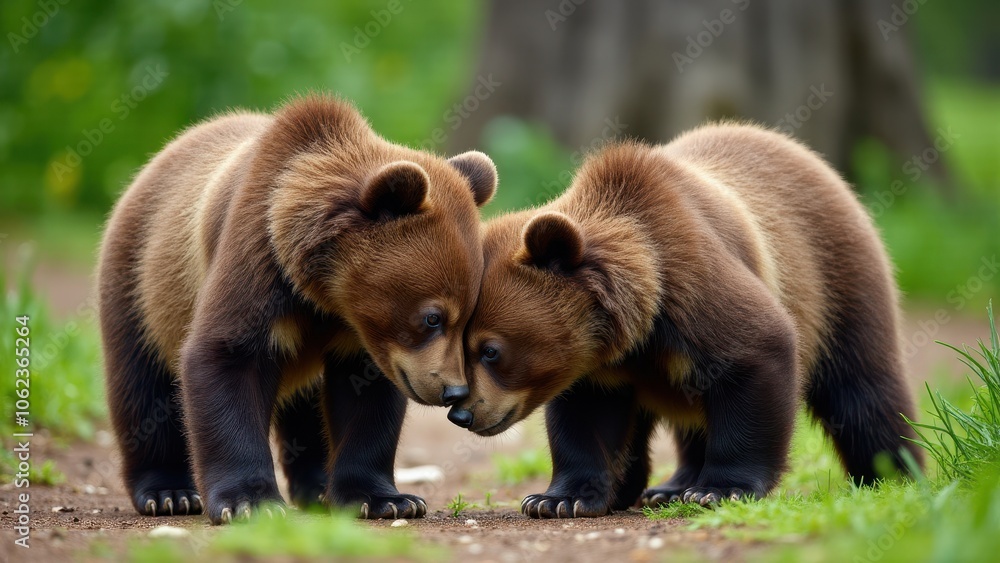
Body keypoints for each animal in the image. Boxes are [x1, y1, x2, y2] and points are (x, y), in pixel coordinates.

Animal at [98, 95, 497, 524]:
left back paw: (318, 487)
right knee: (143, 388)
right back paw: (168, 492)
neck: (323, 294)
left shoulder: (363, 341)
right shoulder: (256, 261)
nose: (453, 389)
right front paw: (249, 501)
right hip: (143, 286)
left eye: (468, 317)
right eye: (432, 317)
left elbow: (367, 402)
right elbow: (225, 358)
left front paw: (386, 498)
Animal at [447, 123, 923, 518]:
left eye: (490, 350)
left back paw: (891, 474)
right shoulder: (597, 366)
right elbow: (586, 421)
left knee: (862, 388)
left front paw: (722, 489)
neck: (637, 331)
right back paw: (670, 486)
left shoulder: (695, 286)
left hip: (836, 280)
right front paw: (558, 498)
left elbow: (757, 353)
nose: (461, 412)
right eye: (451, 338)